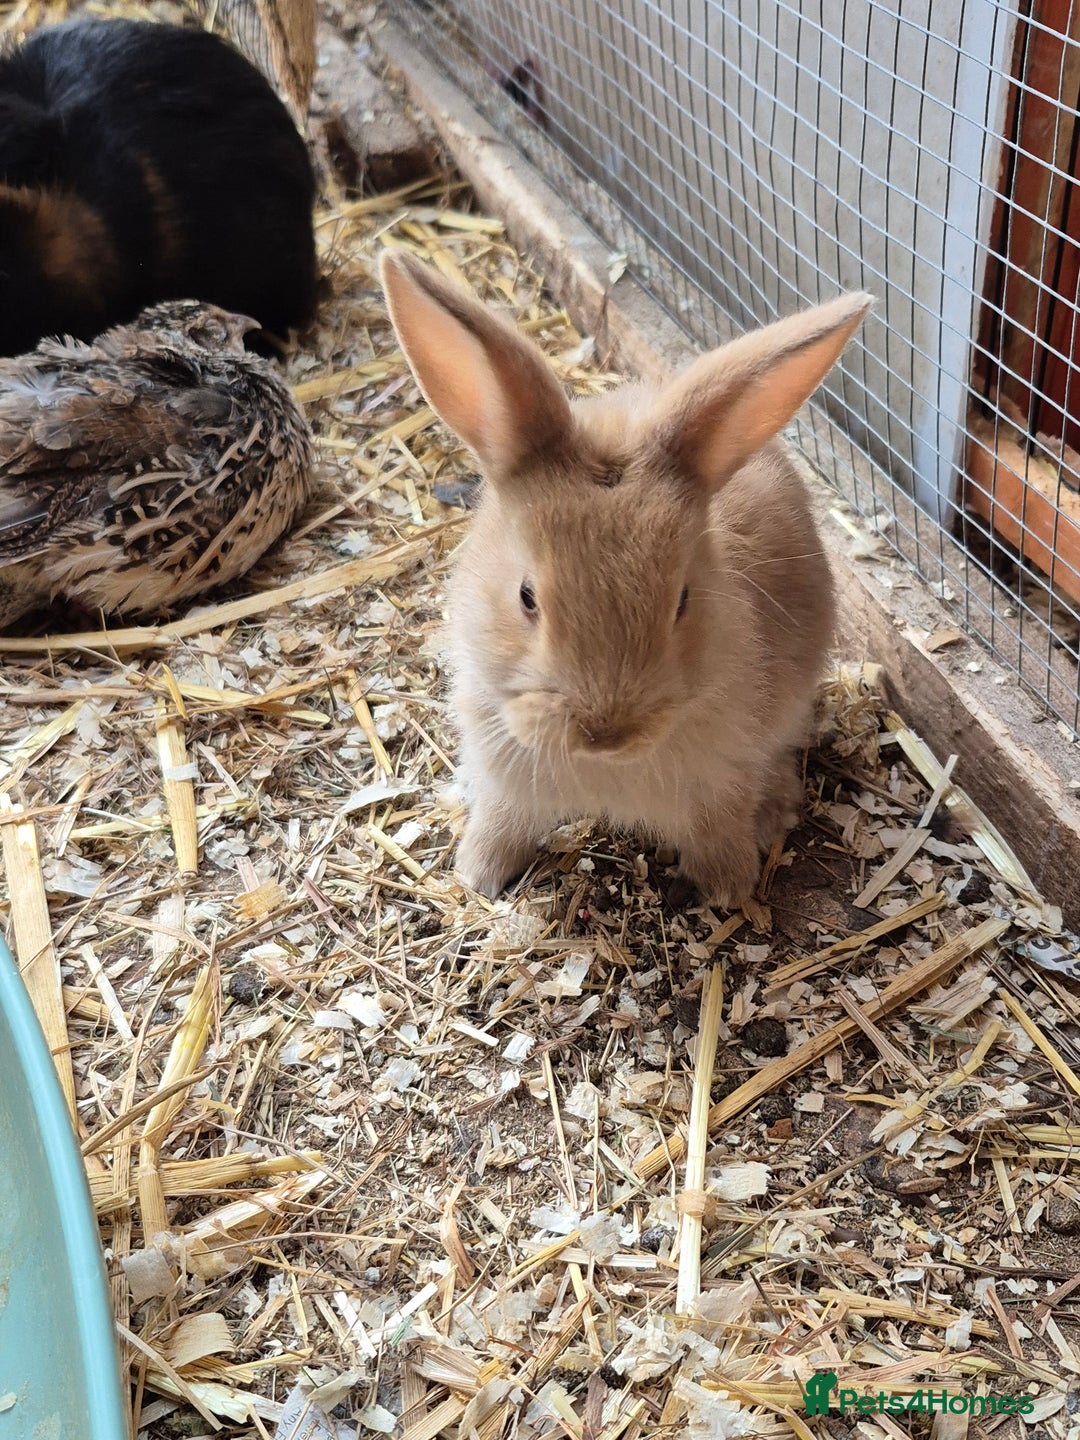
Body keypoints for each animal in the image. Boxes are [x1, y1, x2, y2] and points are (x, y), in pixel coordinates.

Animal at [381, 249, 871, 908]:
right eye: (526, 597)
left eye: (683, 600)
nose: (605, 732)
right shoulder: (505, 779)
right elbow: (501, 824)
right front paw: (477, 876)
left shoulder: (724, 782)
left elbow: (720, 832)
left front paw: (728, 891)